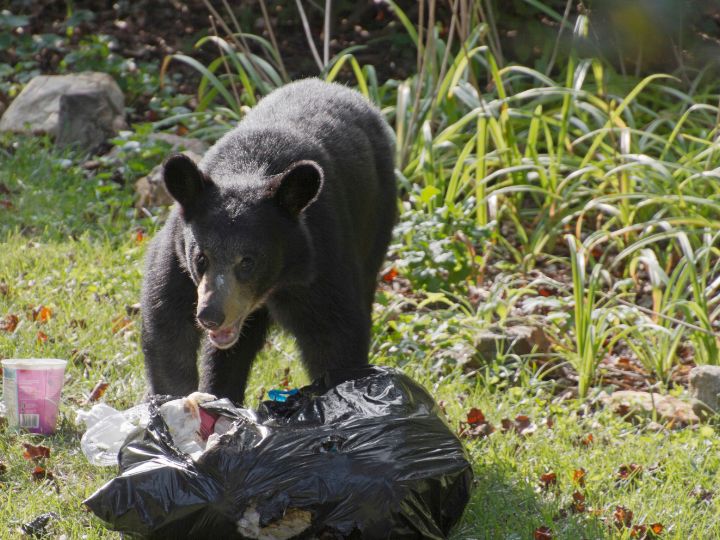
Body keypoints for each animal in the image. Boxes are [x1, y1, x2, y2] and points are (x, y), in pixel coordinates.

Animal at [139, 78, 400, 402]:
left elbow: (335, 337)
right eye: (201, 258)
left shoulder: (320, 261)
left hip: (377, 221)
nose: (210, 315)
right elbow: (168, 328)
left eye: (248, 262)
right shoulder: (177, 261)